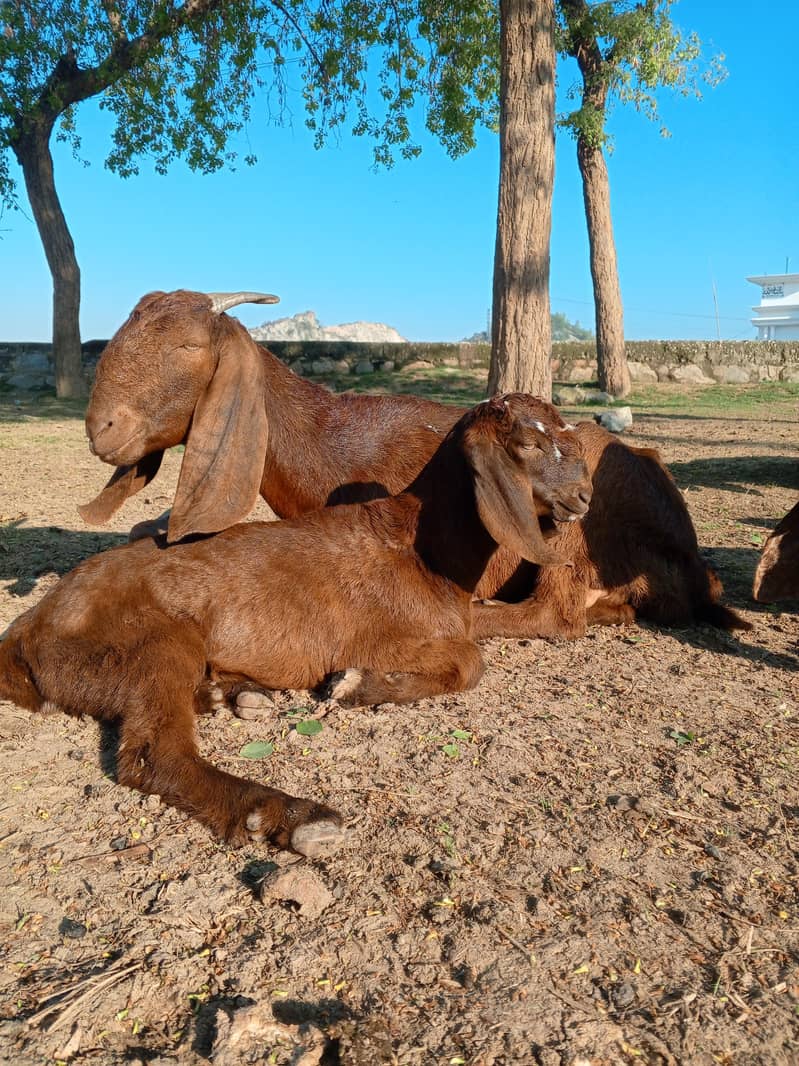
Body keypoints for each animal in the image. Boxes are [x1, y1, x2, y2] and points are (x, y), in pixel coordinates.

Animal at [1, 395, 592, 852]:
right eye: (528, 445)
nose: (583, 496)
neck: (423, 548)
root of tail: (27, 627)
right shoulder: (378, 634)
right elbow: (470, 661)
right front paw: (353, 685)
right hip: (152, 639)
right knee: (153, 756)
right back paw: (290, 814)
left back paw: (230, 694)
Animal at [81, 289, 748, 636]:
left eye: (188, 345)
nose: (100, 428)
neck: (324, 438)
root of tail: (694, 562)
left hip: (577, 523)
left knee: (555, 613)